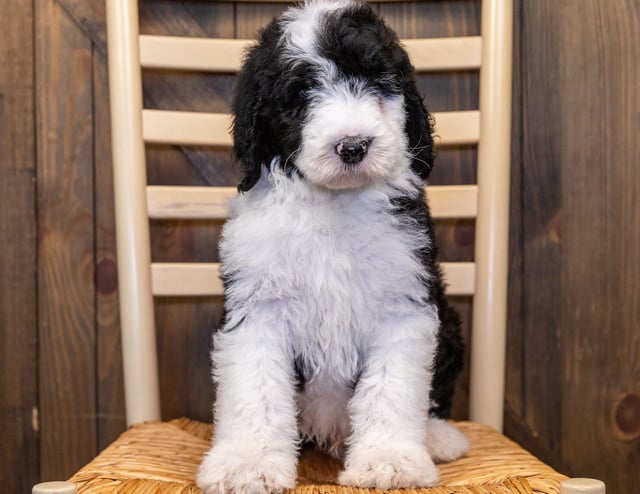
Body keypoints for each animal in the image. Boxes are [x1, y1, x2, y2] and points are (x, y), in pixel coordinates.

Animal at [198, 1, 468, 492]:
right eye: (301, 93)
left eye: (378, 80)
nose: (353, 146)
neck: (333, 204)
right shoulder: (258, 307)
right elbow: (255, 389)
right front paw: (247, 464)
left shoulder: (402, 302)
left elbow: (391, 387)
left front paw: (389, 460)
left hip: (451, 324)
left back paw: (437, 437)